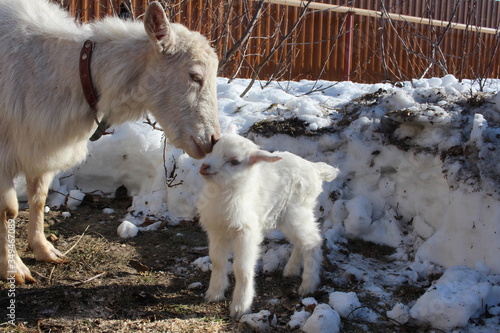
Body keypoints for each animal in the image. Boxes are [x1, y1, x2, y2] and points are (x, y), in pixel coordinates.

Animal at [197, 132, 338, 316]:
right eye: (213, 150)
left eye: (234, 161)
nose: (204, 167)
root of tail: (314, 168)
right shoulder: (217, 230)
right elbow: (217, 262)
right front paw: (214, 293)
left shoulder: (247, 232)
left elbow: (242, 268)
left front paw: (240, 307)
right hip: (289, 216)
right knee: (302, 241)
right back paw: (291, 270)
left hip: (297, 211)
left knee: (312, 242)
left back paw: (308, 285)